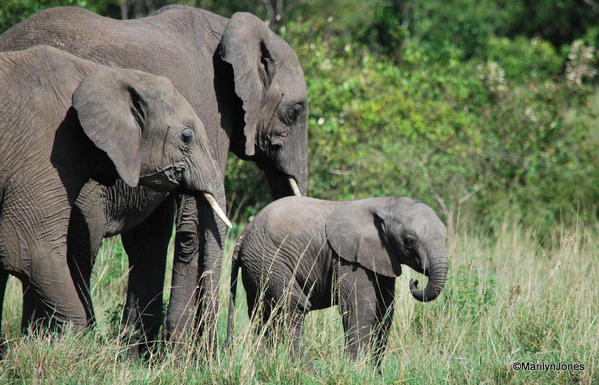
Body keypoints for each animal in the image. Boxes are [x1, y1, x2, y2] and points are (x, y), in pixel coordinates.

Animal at [0, 6, 310, 354]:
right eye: (296, 111)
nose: (221, 347)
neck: (227, 28)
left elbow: (152, 235)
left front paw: (140, 354)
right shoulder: (211, 109)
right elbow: (194, 221)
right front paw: (182, 354)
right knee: (79, 243)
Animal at [227, 196, 448, 364]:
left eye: (446, 239)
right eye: (410, 241)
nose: (415, 283)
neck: (385, 204)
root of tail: (243, 234)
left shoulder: (382, 256)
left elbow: (385, 309)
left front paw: (374, 372)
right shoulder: (349, 259)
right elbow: (361, 306)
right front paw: (356, 369)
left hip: (257, 267)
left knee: (261, 313)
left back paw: (261, 365)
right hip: (269, 260)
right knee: (293, 307)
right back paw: (307, 371)